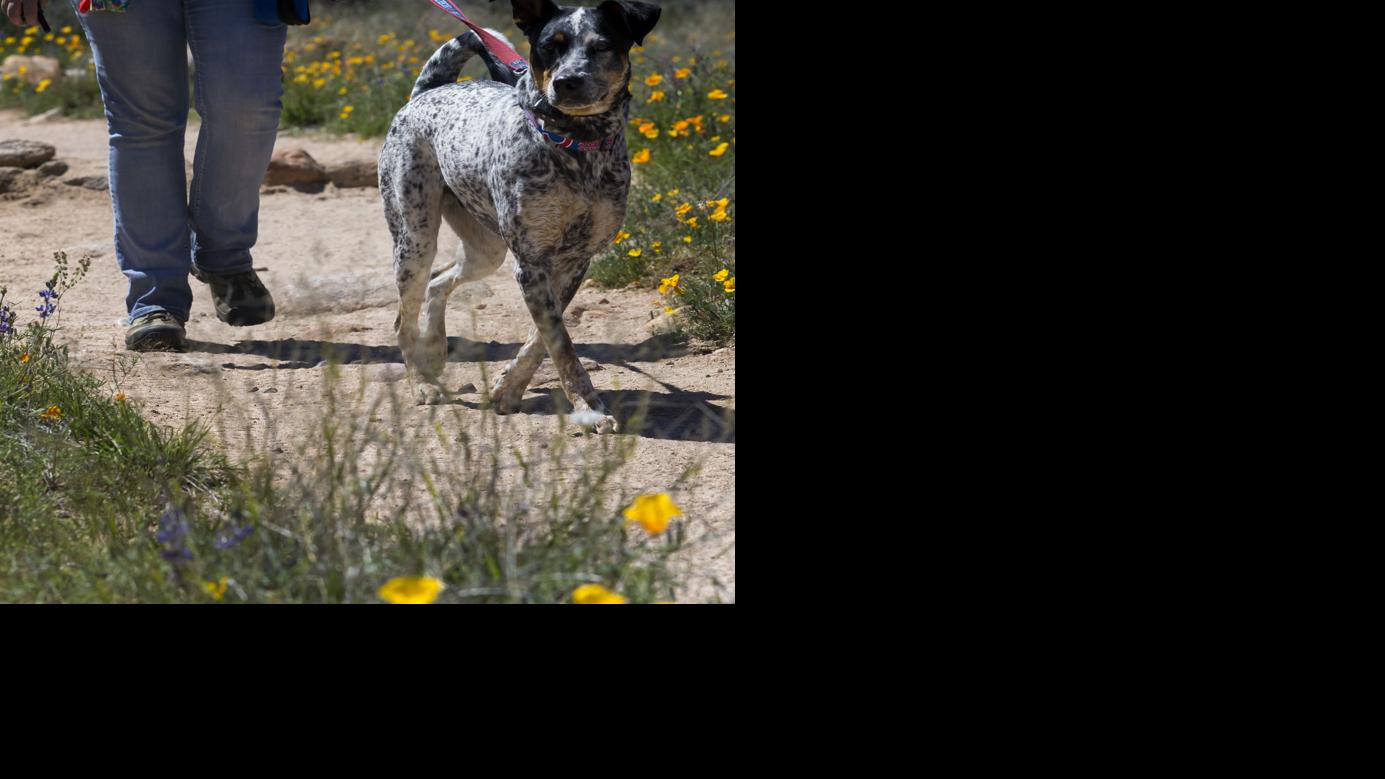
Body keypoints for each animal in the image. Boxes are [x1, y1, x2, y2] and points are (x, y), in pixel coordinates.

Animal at [379, 0, 659, 429]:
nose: (567, 82)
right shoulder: (530, 263)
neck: (576, 146)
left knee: (439, 284)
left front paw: (508, 390)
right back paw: (422, 383)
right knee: (402, 318)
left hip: (487, 250)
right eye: (549, 46)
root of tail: (426, 93)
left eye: (601, 46)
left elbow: (540, 340)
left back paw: (436, 348)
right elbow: (560, 346)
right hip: (415, 240)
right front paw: (589, 408)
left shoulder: (574, 261)